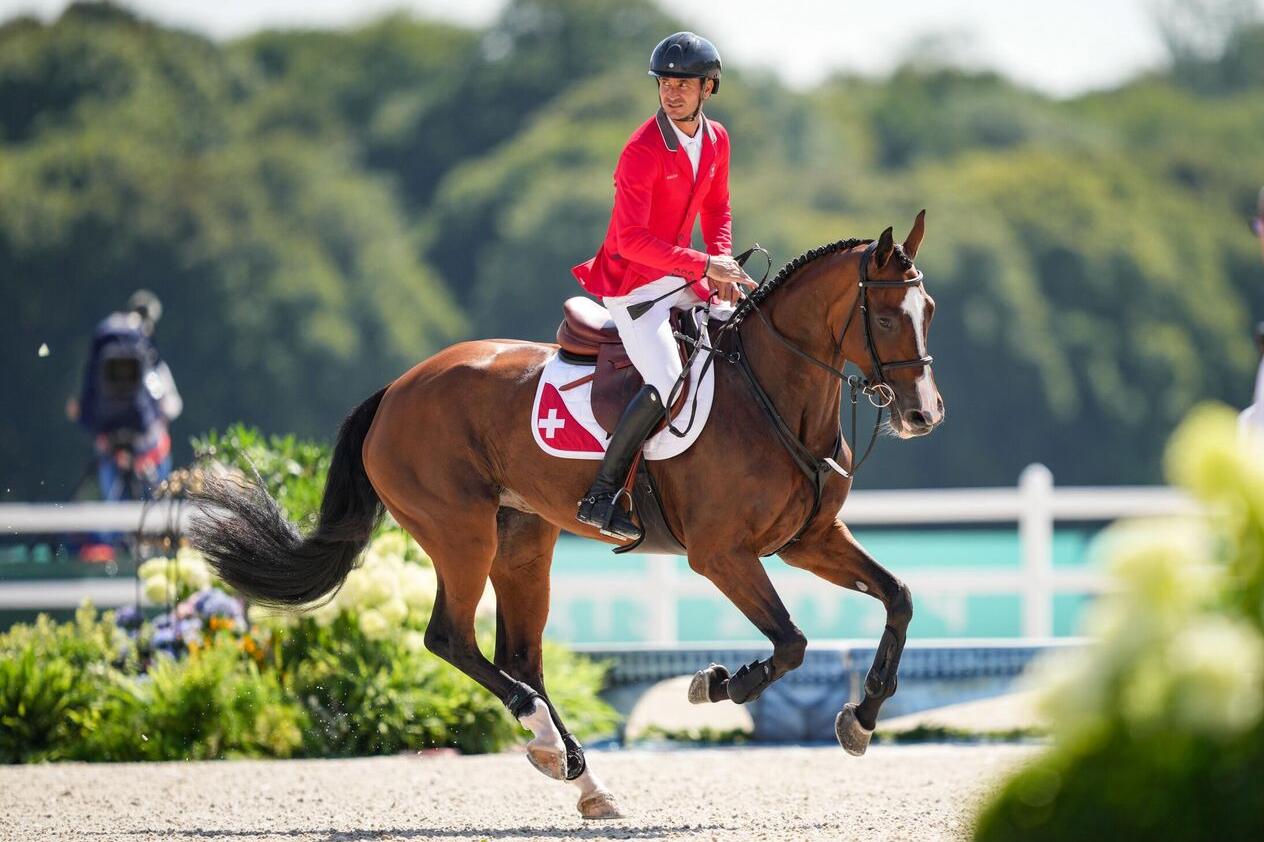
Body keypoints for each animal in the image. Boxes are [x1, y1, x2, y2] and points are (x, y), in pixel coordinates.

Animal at [192, 213, 945, 814]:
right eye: (884, 317)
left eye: (929, 310)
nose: (923, 416)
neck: (772, 394)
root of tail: (397, 389)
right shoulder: (722, 555)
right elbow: (790, 642)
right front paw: (716, 684)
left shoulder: (809, 539)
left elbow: (899, 597)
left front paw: (862, 718)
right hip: (460, 533)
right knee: (451, 639)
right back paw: (550, 742)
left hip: (524, 539)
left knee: (518, 655)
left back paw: (577, 772)